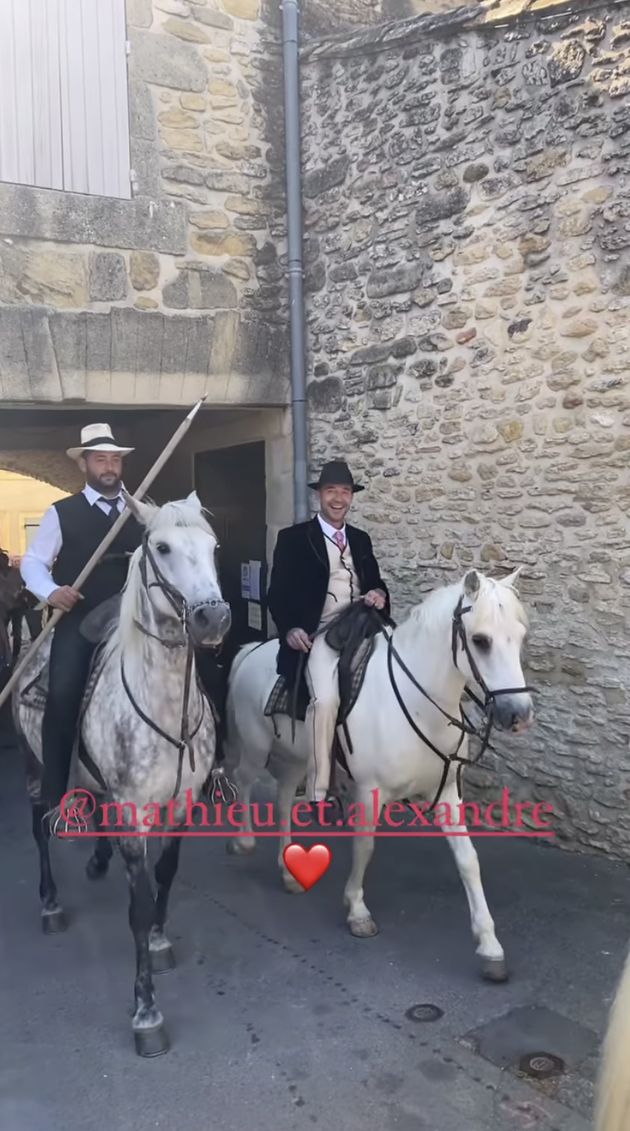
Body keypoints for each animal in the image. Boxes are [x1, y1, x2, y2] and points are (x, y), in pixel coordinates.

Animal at [11, 490, 230, 1054]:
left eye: (213, 547)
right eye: (163, 547)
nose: (213, 619)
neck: (166, 704)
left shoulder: (180, 805)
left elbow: (165, 877)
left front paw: (158, 939)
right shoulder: (134, 812)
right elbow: (139, 905)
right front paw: (146, 1012)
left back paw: (96, 860)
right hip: (32, 763)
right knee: (39, 825)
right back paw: (51, 904)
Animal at [220, 570, 531, 986]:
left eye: (521, 636)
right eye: (480, 640)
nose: (519, 714)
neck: (420, 703)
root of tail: (253, 648)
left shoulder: (448, 792)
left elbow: (468, 860)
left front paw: (490, 946)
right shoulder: (369, 792)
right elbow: (364, 848)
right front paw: (357, 910)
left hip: (300, 759)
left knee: (285, 797)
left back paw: (289, 871)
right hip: (256, 747)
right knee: (244, 779)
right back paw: (244, 841)